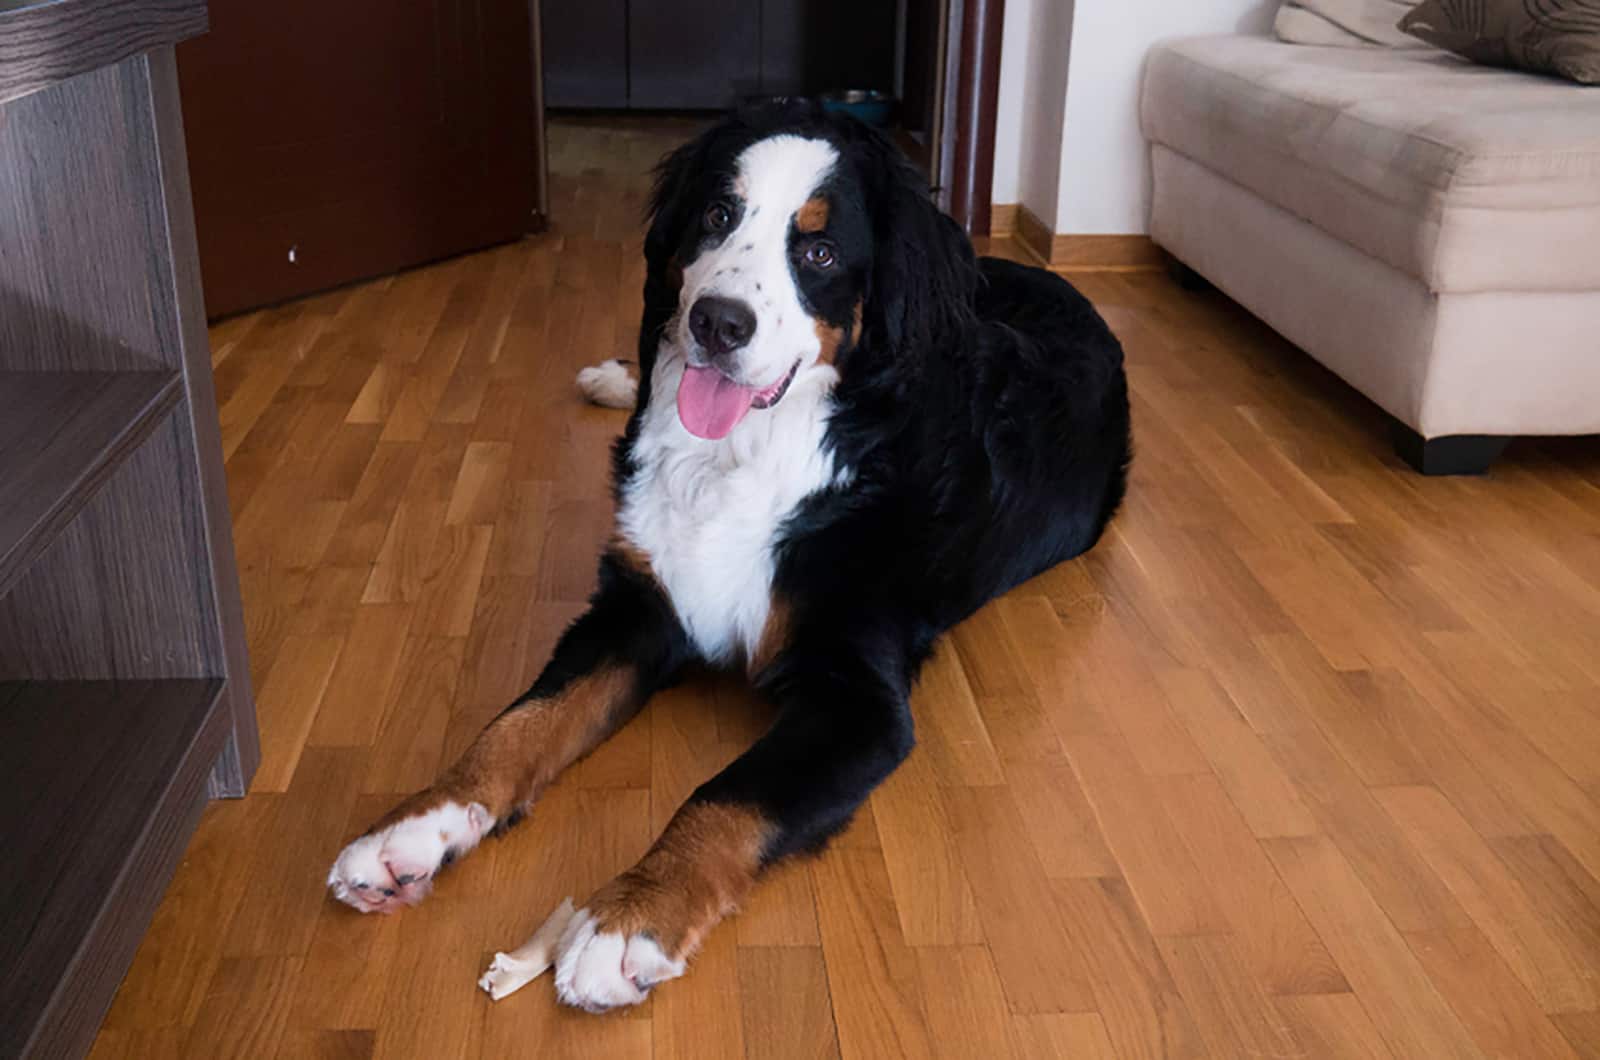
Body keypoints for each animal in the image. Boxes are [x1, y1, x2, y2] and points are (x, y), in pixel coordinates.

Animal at [328, 99, 1126, 1011]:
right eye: (716, 215)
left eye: (818, 252)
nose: (716, 322)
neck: (740, 456)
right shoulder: (637, 608)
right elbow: (517, 724)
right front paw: (411, 829)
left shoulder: (856, 697)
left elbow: (726, 796)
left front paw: (629, 918)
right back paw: (615, 375)